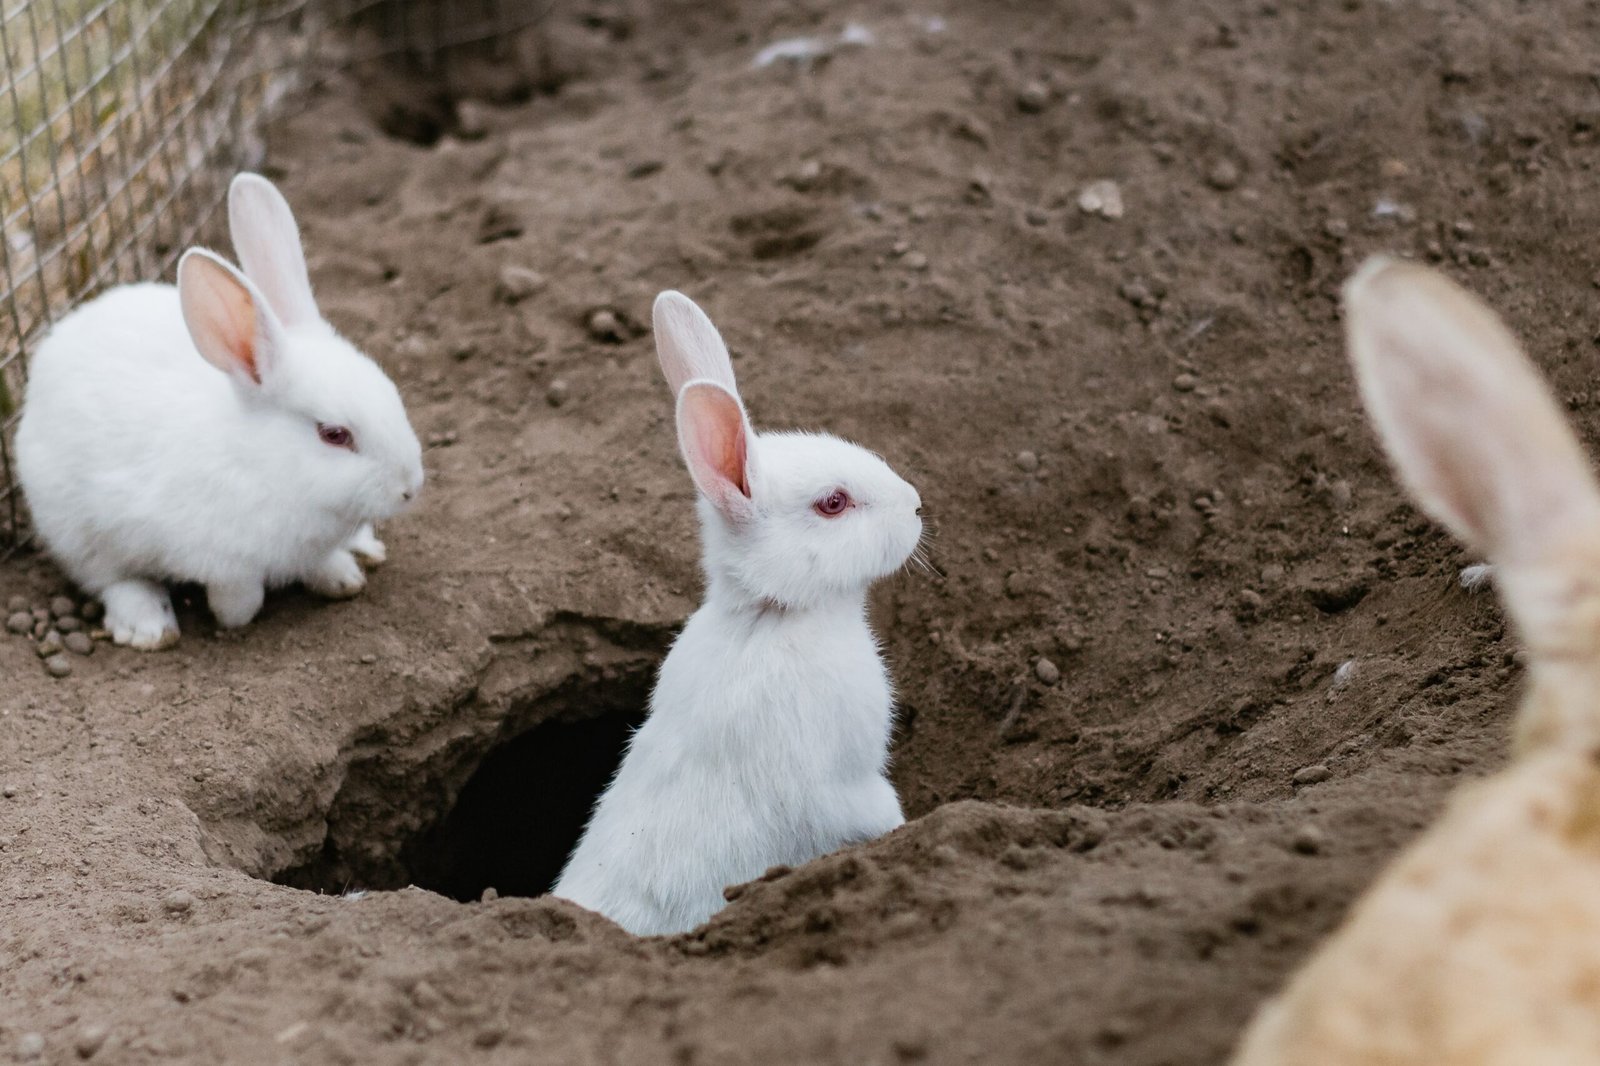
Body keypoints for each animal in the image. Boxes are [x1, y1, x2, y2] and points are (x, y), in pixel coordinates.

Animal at [14, 172, 425, 646]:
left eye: (392, 392)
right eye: (334, 435)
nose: (410, 488)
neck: (264, 465)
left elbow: (322, 562)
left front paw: (343, 578)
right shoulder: (223, 560)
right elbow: (240, 592)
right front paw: (235, 620)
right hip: (76, 528)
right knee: (112, 578)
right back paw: (148, 627)